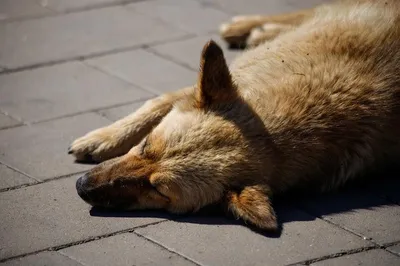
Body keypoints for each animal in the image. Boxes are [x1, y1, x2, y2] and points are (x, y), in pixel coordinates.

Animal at [69, 0, 400, 231]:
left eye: (158, 189)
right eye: (146, 145)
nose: (81, 185)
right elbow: (157, 102)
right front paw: (104, 138)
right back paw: (253, 26)